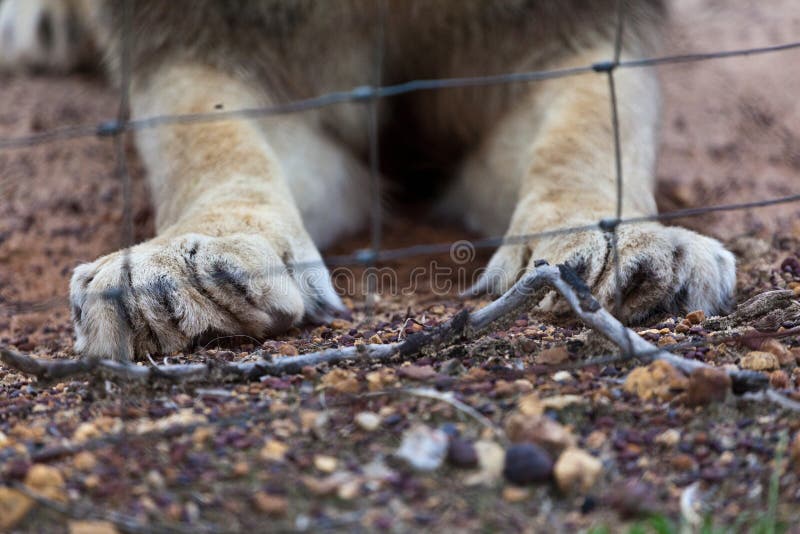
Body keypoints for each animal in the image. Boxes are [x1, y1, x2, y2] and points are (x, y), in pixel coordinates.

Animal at [1, 0, 736, 362]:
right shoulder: (204, 42)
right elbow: (205, 138)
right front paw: (168, 278)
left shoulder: (566, 36)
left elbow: (592, 128)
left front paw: (622, 253)